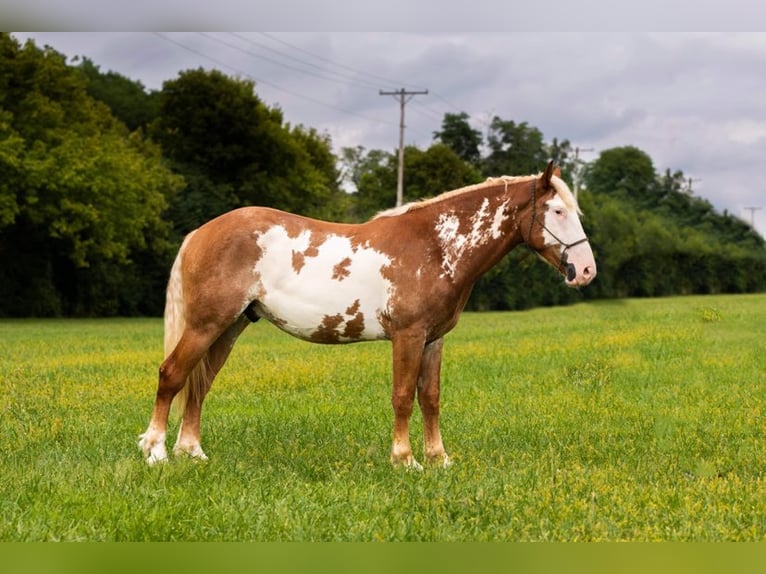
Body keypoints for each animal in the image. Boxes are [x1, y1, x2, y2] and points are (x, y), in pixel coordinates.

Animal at [140, 161, 600, 468]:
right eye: (558, 211)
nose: (586, 271)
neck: (435, 246)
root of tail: (201, 232)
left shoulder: (434, 339)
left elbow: (430, 397)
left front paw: (440, 459)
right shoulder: (408, 336)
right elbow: (403, 396)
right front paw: (405, 460)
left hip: (230, 327)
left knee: (199, 385)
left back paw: (192, 452)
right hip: (206, 324)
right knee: (172, 375)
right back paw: (156, 452)